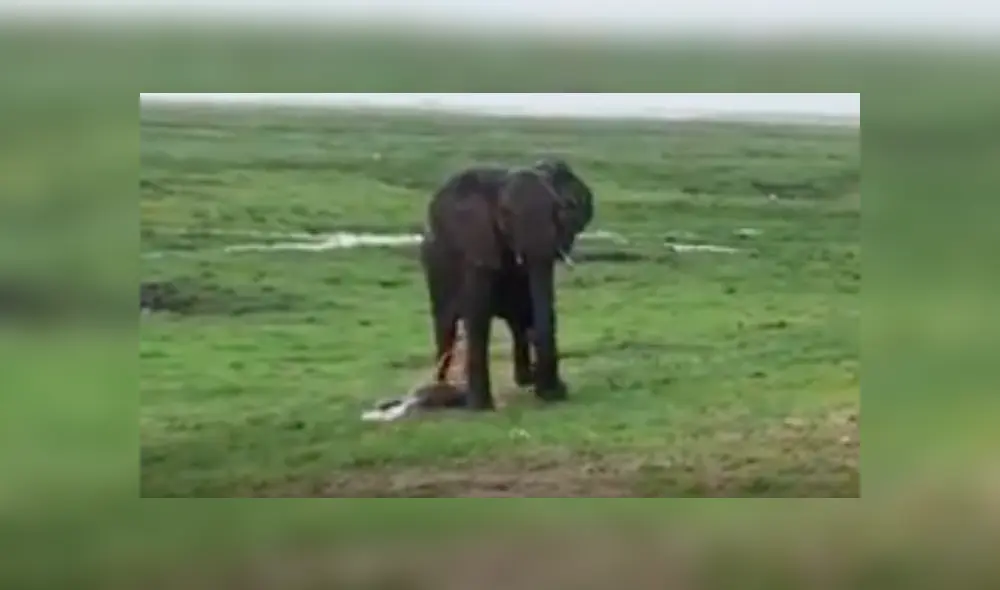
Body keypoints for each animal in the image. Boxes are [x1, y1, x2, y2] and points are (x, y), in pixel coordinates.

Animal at [419, 158, 594, 410]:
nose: (558, 392)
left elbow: (538, 305)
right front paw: (480, 407)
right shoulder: (477, 245)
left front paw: (548, 389)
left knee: (517, 320)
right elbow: (478, 314)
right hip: (434, 269)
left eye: (557, 209)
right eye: (506, 213)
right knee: (446, 328)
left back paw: (523, 379)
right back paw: (441, 391)